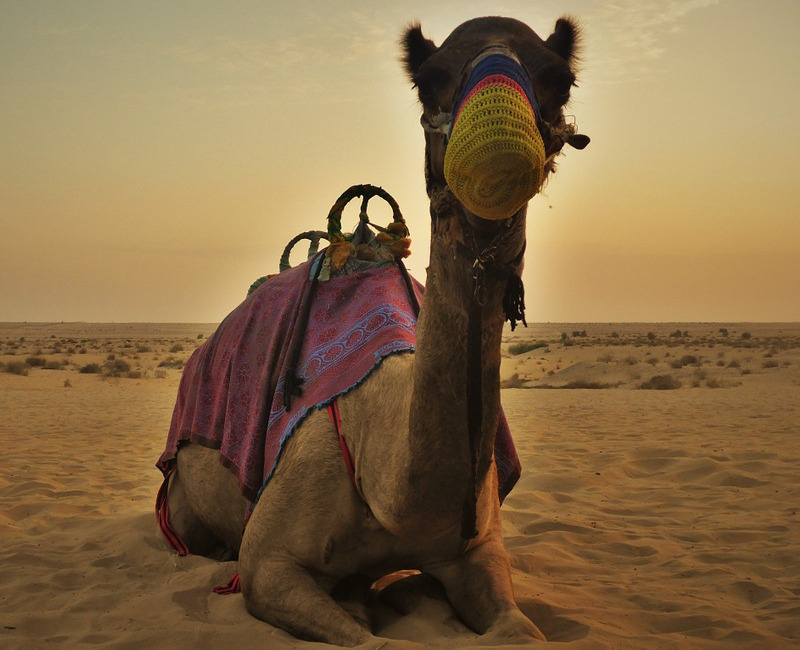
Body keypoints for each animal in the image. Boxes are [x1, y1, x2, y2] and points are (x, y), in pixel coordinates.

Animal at [156, 13, 588, 644]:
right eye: (428, 80)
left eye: (560, 80)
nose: (497, 151)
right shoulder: (268, 565)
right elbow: (367, 639)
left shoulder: (479, 549)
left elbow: (521, 632)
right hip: (182, 502)